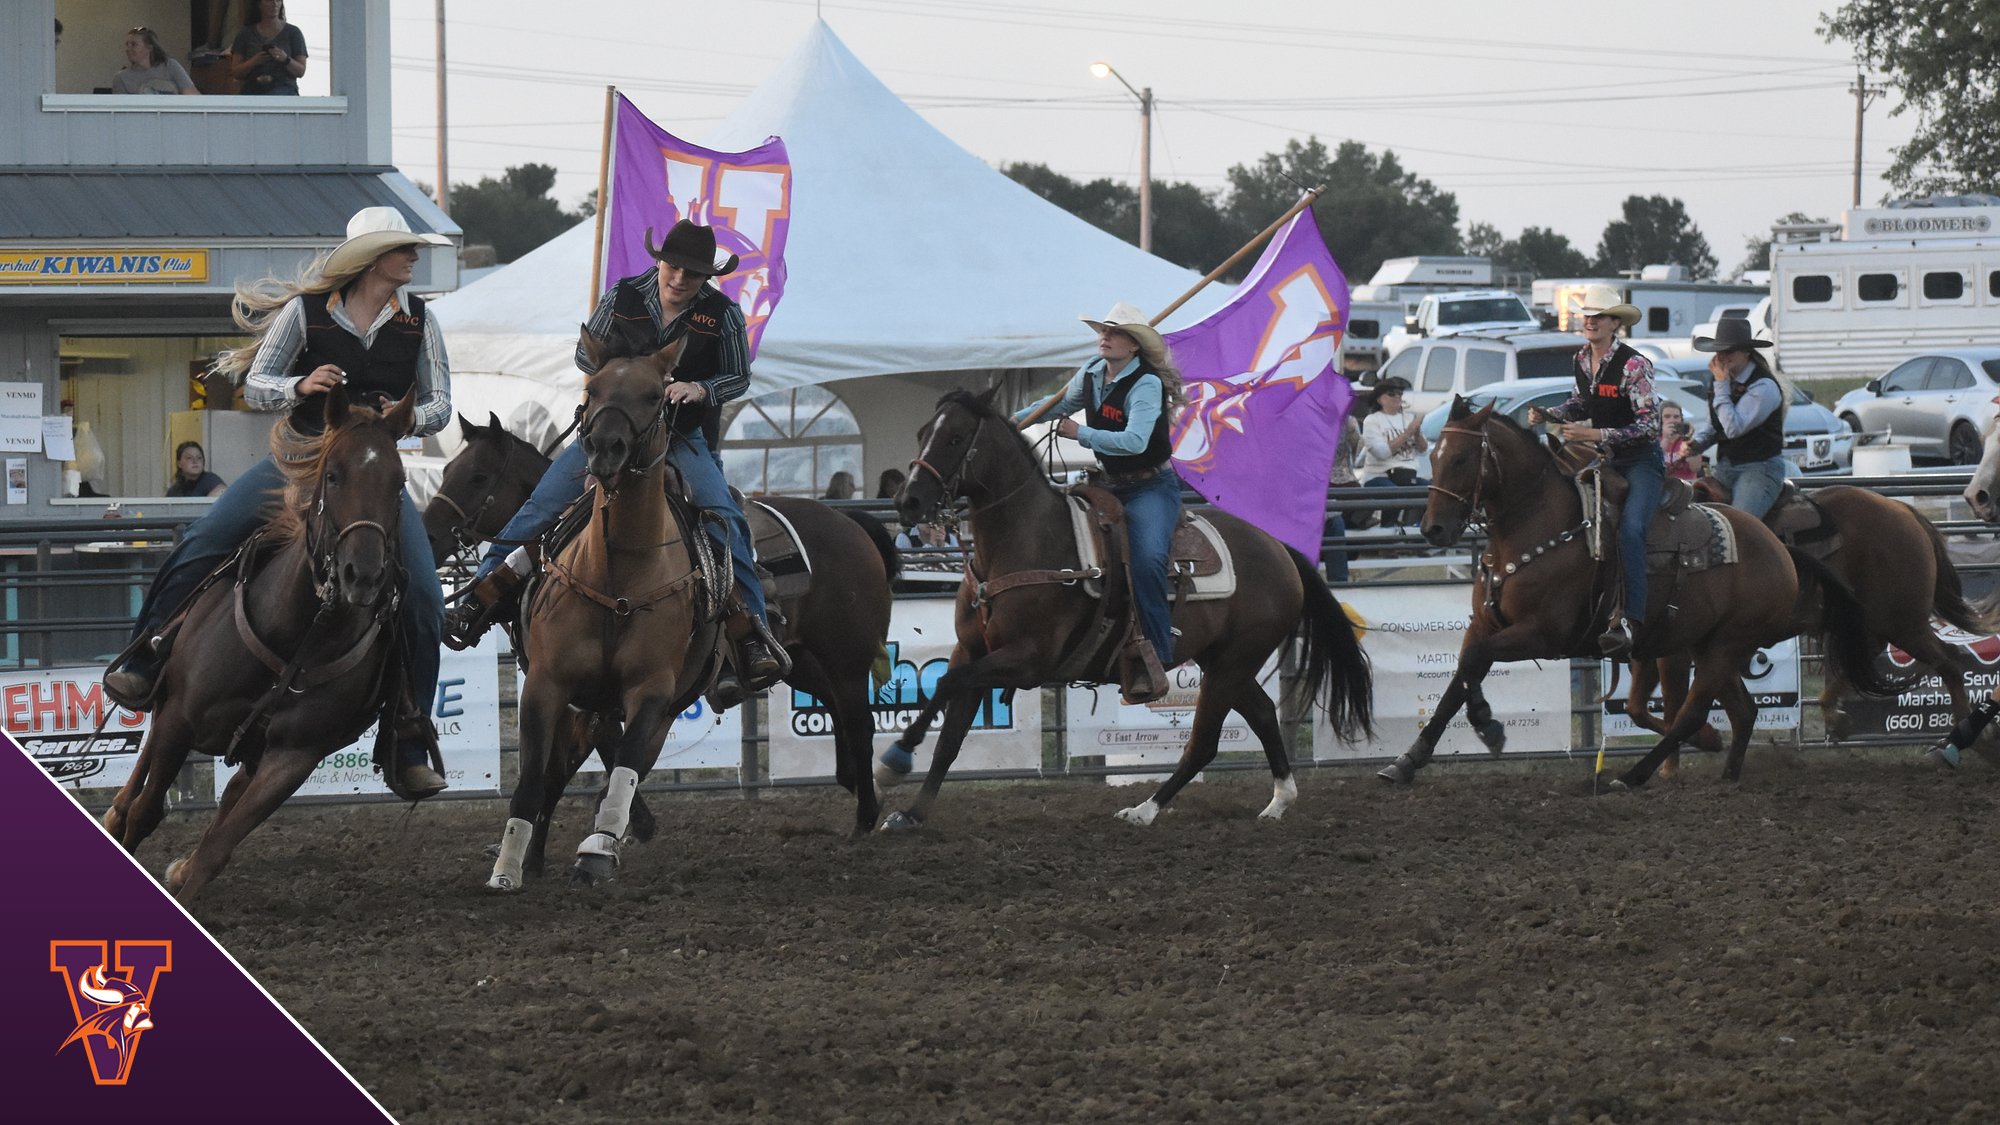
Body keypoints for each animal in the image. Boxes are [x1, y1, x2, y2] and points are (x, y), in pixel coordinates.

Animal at [101, 390, 418, 896]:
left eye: (399, 482)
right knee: (142, 772)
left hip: (253, 752)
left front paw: (189, 876)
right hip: (167, 694)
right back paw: (114, 813)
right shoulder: (179, 718)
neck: (297, 636)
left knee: (229, 797)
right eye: (333, 474)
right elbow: (147, 811)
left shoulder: (292, 759)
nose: (363, 575)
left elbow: (218, 848)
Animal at [430, 412, 900, 832]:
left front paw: (631, 816)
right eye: (448, 470)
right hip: (803, 663)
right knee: (837, 710)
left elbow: (610, 747)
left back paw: (865, 818)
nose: (428, 533)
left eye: (478, 477)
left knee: (860, 721)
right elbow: (595, 749)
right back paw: (853, 786)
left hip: (846, 658)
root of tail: (853, 525)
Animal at [888, 384, 1376, 824]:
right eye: (922, 432)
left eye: (955, 438)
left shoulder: (1027, 660)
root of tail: (1278, 548)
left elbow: (947, 685)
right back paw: (1278, 801)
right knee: (1261, 713)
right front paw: (911, 812)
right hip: (1223, 661)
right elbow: (950, 731)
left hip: (1234, 663)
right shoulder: (972, 650)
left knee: (1205, 743)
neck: (1026, 541)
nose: (907, 500)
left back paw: (1145, 810)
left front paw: (894, 758)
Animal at [1384, 400, 1896, 788]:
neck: (1538, 528)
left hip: (1728, 643)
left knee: (1692, 711)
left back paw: (1633, 775)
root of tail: (1778, 548)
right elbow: (1459, 676)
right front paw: (1408, 760)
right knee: (1744, 711)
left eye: (1462, 459)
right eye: (1433, 456)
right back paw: (1727, 773)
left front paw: (1489, 725)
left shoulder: (1543, 634)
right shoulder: (1484, 624)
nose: (1433, 529)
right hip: (1708, 644)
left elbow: (1474, 664)